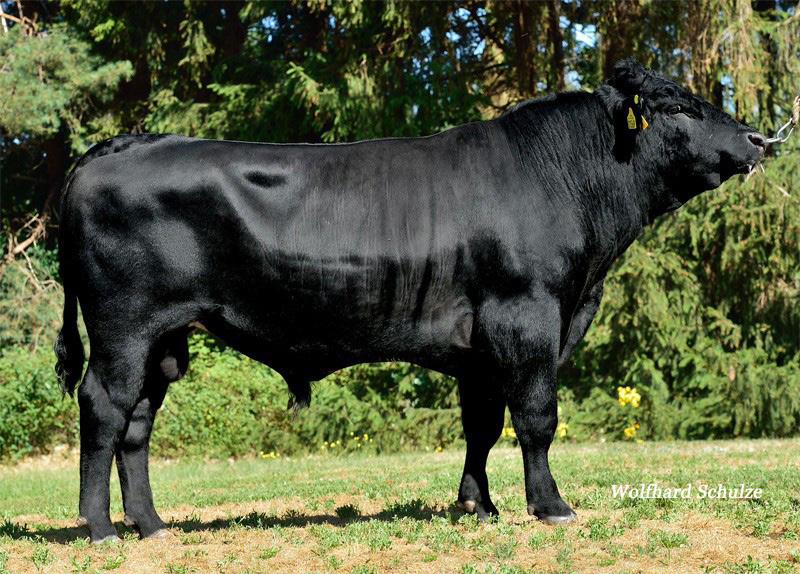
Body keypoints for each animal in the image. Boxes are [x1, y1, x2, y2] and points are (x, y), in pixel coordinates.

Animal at [54, 59, 765, 542]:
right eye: (684, 109)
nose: (759, 140)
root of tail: (124, 145)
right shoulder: (527, 316)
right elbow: (536, 417)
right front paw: (550, 506)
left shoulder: (481, 347)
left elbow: (482, 426)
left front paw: (478, 504)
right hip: (123, 326)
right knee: (105, 406)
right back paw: (100, 528)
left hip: (164, 339)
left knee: (138, 421)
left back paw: (152, 524)